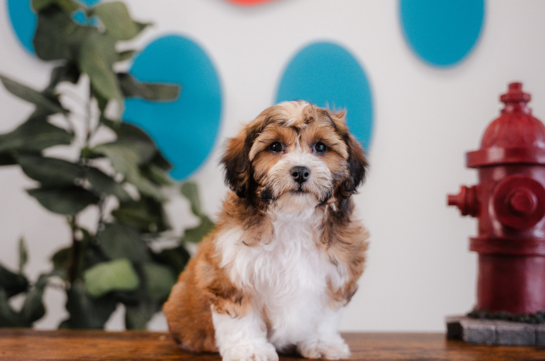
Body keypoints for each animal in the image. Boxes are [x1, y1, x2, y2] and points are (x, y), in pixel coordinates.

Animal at [164, 100, 368, 360]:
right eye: (275, 146)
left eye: (321, 147)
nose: (300, 171)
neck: (294, 216)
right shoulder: (232, 273)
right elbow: (240, 316)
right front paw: (249, 349)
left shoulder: (337, 273)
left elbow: (325, 316)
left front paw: (323, 344)